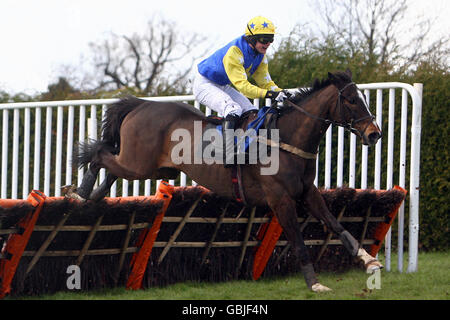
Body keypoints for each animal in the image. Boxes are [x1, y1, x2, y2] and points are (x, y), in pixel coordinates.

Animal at [71, 69, 384, 292]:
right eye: (351, 100)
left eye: (362, 98)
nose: (374, 134)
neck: (286, 138)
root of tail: (139, 105)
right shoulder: (281, 199)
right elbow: (297, 239)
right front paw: (315, 283)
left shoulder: (308, 192)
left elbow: (335, 223)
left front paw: (369, 260)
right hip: (138, 165)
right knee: (99, 155)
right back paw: (80, 192)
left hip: (152, 168)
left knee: (111, 165)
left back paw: (93, 196)